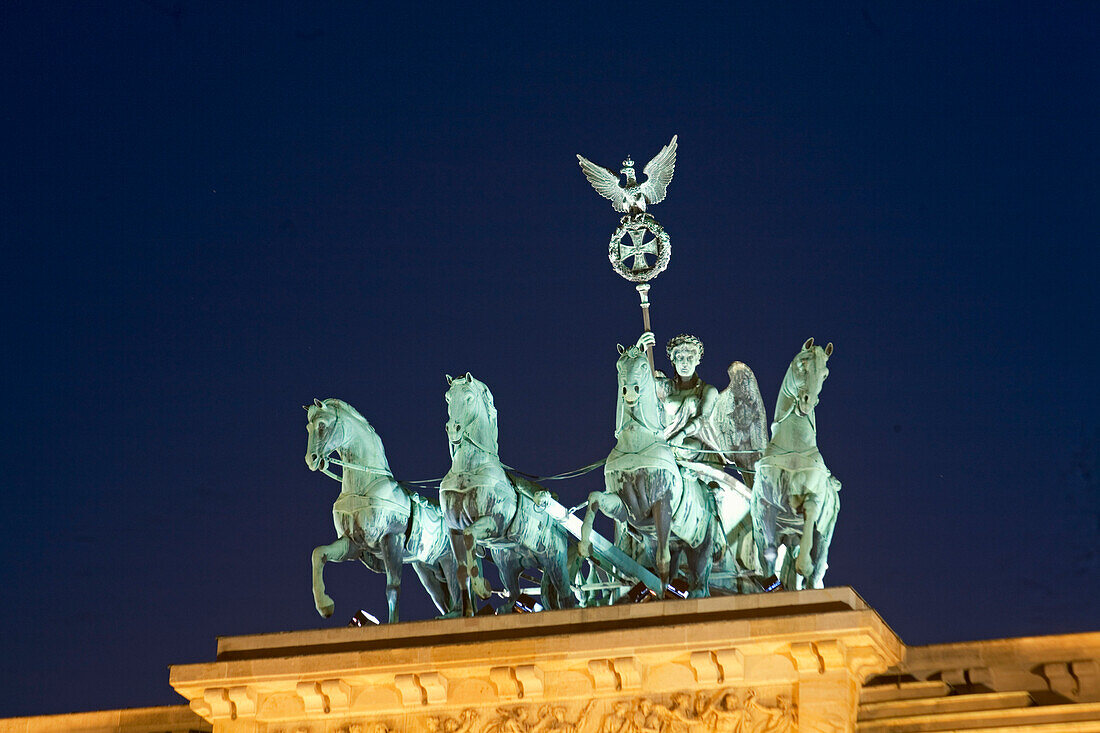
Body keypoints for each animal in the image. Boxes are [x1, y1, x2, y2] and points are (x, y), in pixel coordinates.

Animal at [440, 372, 576, 611]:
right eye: (448, 397)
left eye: (469, 398)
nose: (453, 429)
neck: (469, 468)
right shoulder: (454, 529)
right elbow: (461, 572)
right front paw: (463, 611)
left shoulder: (493, 522)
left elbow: (470, 536)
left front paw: (482, 587)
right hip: (507, 564)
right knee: (513, 593)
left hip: (555, 562)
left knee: (566, 596)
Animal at [576, 343, 721, 594]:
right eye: (619, 366)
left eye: (644, 365)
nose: (630, 392)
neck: (636, 445)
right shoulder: (625, 508)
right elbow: (594, 498)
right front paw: (585, 545)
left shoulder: (663, 504)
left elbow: (662, 564)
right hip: (666, 542)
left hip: (701, 547)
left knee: (698, 583)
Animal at [748, 336, 840, 589]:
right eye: (802, 363)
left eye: (825, 374)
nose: (808, 402)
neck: (794, 449)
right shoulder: (764, 508)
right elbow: (768, 553)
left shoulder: (812, 499)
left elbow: (810, 509)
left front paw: (804, 565)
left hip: (824, 538)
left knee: (815, 571)